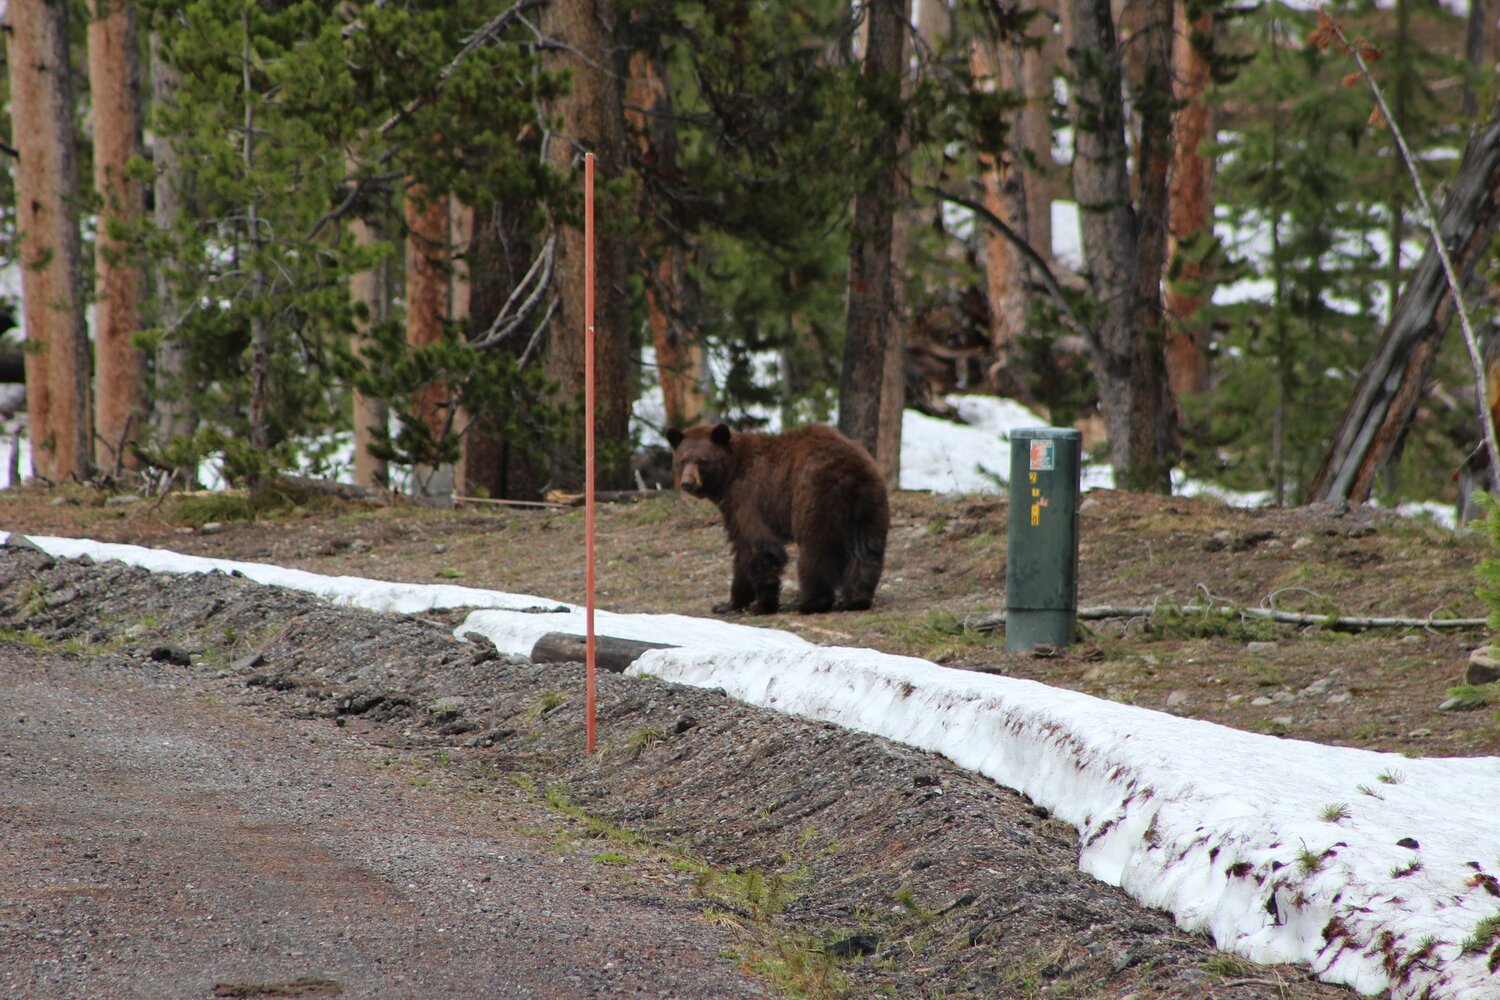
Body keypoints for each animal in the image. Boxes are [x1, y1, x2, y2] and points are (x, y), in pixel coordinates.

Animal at [665, 422, 889, 615]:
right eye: (682, 460)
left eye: (702, 461)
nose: (687, 483)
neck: (731, 474)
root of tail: (849, 471)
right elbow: (742, 550)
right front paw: (727, 604)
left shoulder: (747, 498)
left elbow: (759, 546)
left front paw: (760, 605)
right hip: (869, 503)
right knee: (867, 548)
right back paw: (855, 599)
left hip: (814, 496)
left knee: (816, 548)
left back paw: (811, 603)